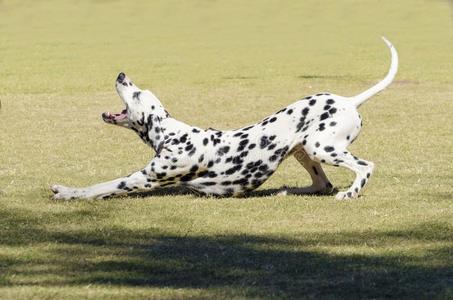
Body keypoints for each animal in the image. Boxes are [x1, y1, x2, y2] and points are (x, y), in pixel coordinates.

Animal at [52, 38, 396, 202]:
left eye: (136, 94)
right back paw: (288, 191)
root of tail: (349, 100)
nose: (122, 74)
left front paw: (67, 192)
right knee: (322, 184)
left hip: (321, 147)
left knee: (364, 167)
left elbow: (99, 187)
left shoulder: (142, 179)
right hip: (303, 151)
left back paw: (350, 193)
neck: (174, 135)